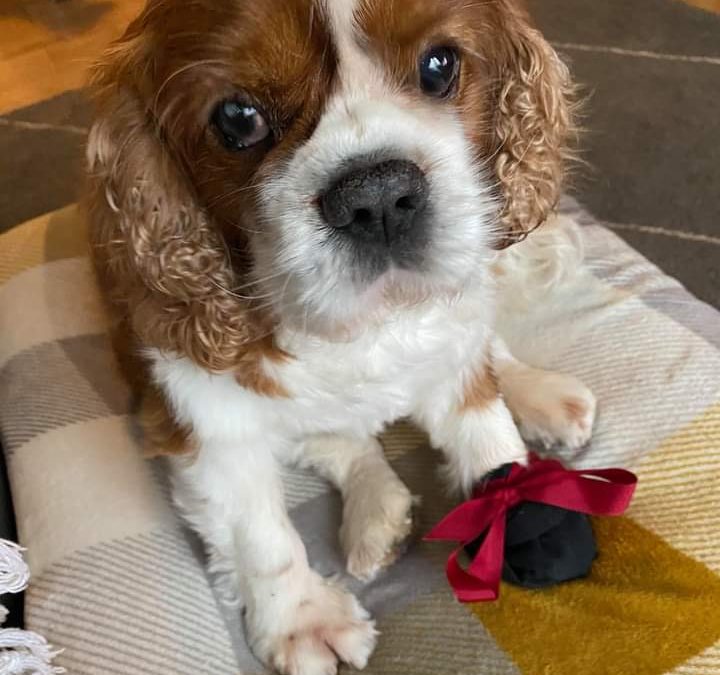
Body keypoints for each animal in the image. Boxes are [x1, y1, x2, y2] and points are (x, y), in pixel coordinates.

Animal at [84, 2, 592, 672]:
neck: (361, 326)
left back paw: (537, 392)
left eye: (439, 66)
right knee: (341, 442)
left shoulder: (452, 343)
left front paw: (518, 500)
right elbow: (259, 533)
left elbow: (484, 424)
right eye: (238, 119)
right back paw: (378, 511)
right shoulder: (205, 419)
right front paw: (302, 618)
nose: (377, 196)